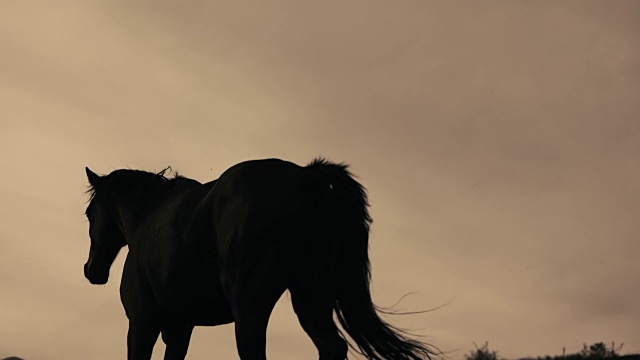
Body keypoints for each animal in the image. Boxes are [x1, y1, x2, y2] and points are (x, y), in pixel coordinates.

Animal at [82, 158, 438, 360]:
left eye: (89, 213)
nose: (91, 270)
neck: (147, 217)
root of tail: (306, 178)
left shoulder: (142, 324)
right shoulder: (180, 330)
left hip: (250, 305)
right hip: (309, 297)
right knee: (332, 347)